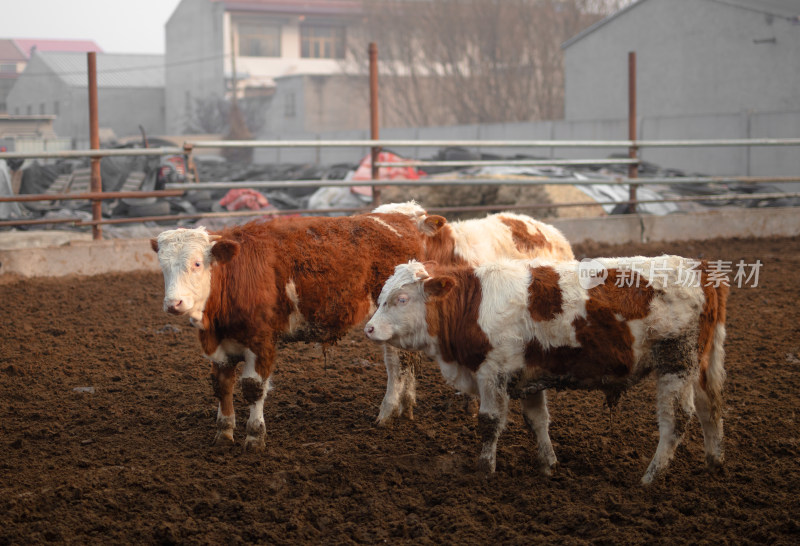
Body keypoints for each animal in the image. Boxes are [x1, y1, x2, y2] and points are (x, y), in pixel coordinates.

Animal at [149, 210, 444, 448]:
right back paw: (406, 406)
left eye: (197, 263)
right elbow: (222, 386)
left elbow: (253, 388)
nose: (174, 303)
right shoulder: (218, 347)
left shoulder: (262, 342)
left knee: (396, 364)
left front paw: (255, 437)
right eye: (163, 266)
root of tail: (402, 218)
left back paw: (388, 412)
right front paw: (224, 433)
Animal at [366, 255, 728, 480]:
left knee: (676, 420)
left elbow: (489, 423)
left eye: (401, 299)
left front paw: (485, 467)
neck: (473, 303)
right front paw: (548, 464)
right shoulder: (529, 375)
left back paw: (651, 477)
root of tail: (700, 268)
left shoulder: (492, 373)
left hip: (676, 362)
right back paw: (714, 462)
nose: (369, 328)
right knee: (710, 408)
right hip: (701, 365)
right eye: (381, 296)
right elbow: (537, 421)